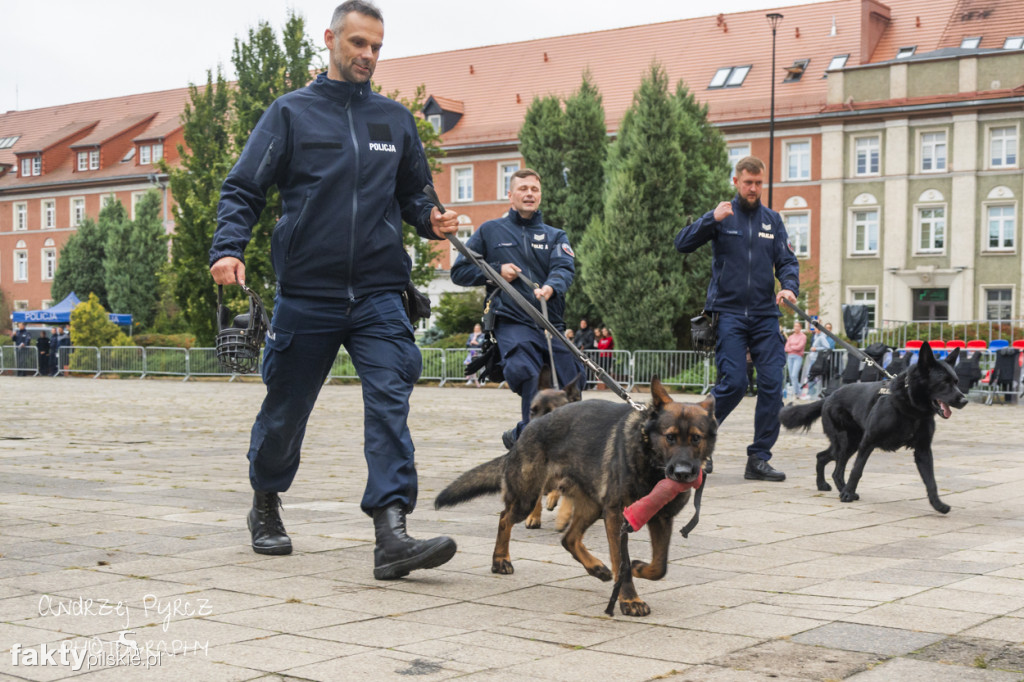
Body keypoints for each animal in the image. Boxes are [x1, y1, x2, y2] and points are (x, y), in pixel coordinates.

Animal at [432, 374, 712, 614]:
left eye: (696, 439)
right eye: (670, 437)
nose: (683, 473)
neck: (648, 456)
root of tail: (527, 431)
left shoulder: (661, 518)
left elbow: (659, 566)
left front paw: (639, 568)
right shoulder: (616, 517)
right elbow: (622, 562)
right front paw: (630, 599)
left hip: (593, 507)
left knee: (568, 539)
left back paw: (595, 567)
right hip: (527, 497)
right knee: (504, 518)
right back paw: (500, 560)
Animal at [782, 346, 966, 509]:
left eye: (956, 382)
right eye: (943, 382)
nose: (964, 401)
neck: (910, 407)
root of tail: (828, 397)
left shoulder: (923, 450)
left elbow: (931, 480)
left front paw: (937, 504)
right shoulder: (868, 442)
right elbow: (857, 470)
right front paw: (848, 494)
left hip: (850, 444)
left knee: (826, 460)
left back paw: (832, 487)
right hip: (846, 443)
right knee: (832, 464)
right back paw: (838, 489)